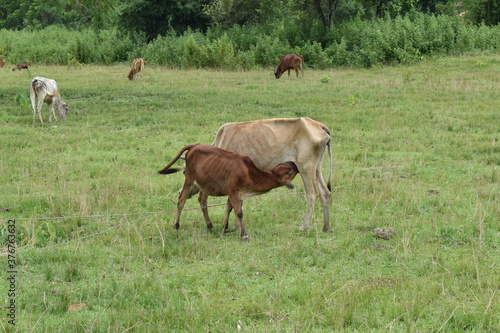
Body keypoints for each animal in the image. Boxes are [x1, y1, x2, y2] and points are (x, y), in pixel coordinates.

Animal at [158, 144, 296, 240]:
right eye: (289, 171)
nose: (294, 164)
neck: (250, 173)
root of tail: (194, 145)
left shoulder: (236, 194)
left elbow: (229, 209)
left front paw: (225, 228)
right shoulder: (233, 191)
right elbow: (239, 213)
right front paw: (244, 235)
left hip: (203, 184)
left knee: (202, 201)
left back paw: (210, 226)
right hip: (190, 180)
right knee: (181, 200)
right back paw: (176, 227)